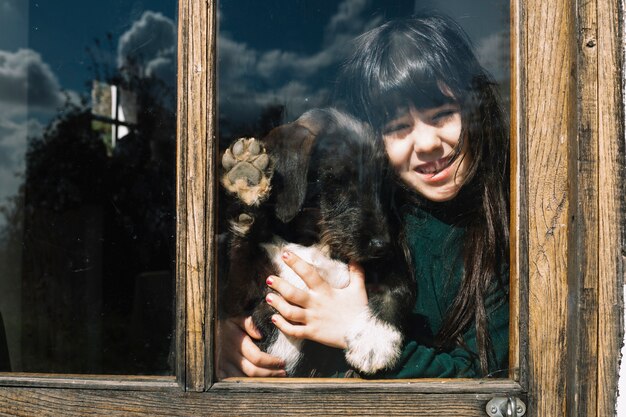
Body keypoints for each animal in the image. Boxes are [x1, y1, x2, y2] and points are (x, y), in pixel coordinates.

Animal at [217, 107, 412, 376]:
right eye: (336, 180)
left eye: (380, 186)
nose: (382, 245)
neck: (312, 244)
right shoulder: (235, 304)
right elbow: (241, 252)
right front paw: (247, 186)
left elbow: (399, 286)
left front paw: (374, 340)